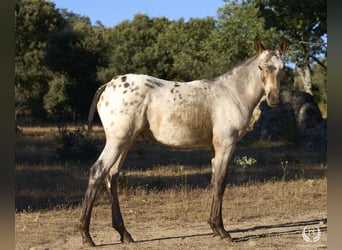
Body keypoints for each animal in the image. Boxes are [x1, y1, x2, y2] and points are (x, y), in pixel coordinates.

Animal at [78, 37, 286, 246]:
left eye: (283, 68)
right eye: (260, 67)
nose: (274, 98)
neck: (233, 93)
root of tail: (108, 85)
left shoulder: (215, 149)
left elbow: (214, 182)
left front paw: (214, 228)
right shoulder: (226, 146)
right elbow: (221, 183)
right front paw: (222, 230)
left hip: (126, 142)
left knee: (112, 175)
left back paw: (124, 233)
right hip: (117, 141)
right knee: (97, 171)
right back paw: (86, 236)